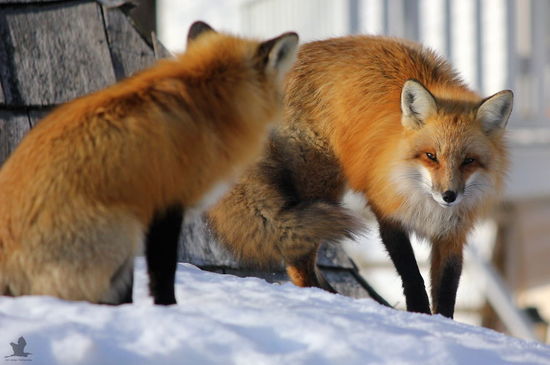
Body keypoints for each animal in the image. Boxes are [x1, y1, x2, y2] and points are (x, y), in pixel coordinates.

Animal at [0, 20, 300, 304]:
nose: (283, 106)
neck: (205, 103)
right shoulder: (166, 202)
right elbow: (163, 273)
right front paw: (169, 310)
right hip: (122, 231)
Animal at [209, 35, 516, 318]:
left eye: (468, 161)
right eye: (431, 156)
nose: (449, 196)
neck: (424, 202)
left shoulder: (453, 233)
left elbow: (447, 289)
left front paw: (443, 323)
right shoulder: (388, 211)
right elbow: (411, 275)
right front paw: (419, 316)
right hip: (322, 187)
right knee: (297, 258)